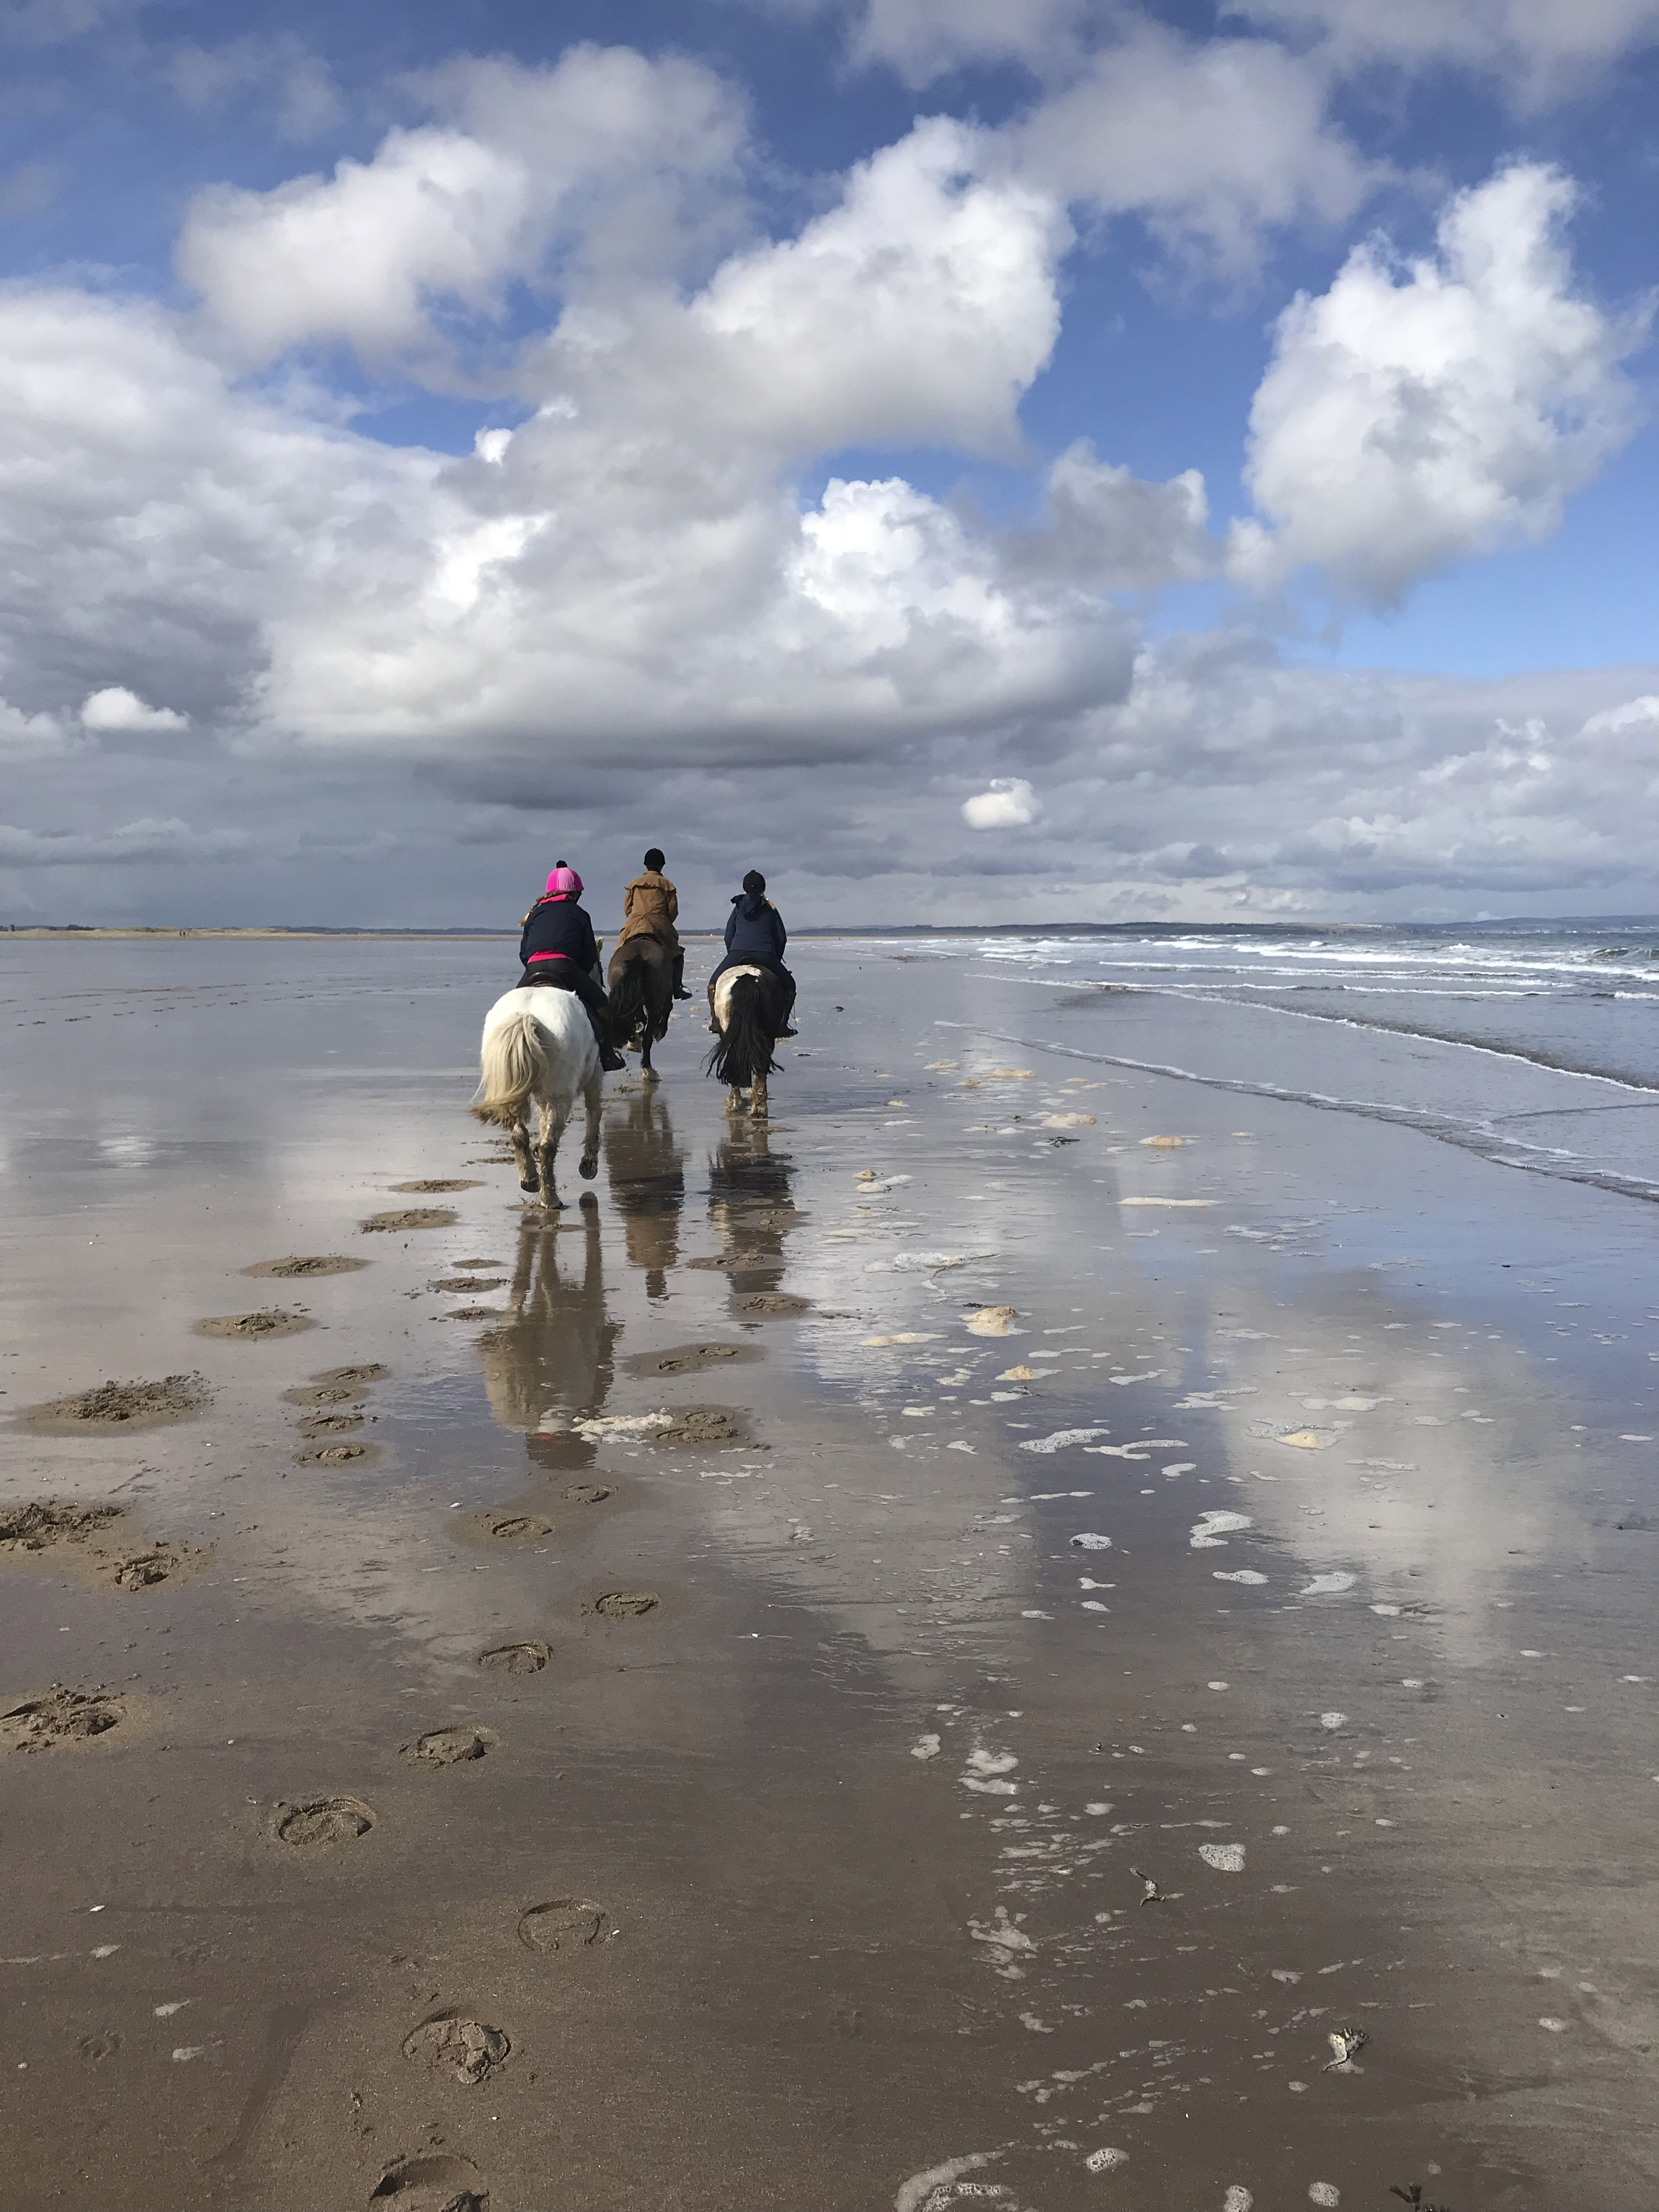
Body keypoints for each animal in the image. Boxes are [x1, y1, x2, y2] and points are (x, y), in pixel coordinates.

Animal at [473, 984, 603, 1209]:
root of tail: (527, 1015)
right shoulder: (595, 1074)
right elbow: (594, 1111)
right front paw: (589, 1165)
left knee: (519, 1134)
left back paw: (530, 1180)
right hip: (561, 1095)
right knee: (548, 1146)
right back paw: (550, 1198)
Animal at [606, 935, 674, 1079]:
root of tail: (640, 957)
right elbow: (668, 1009)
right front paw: (659, 1032)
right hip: (655, 1004)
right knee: (647, 1035)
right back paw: (648, 1070)